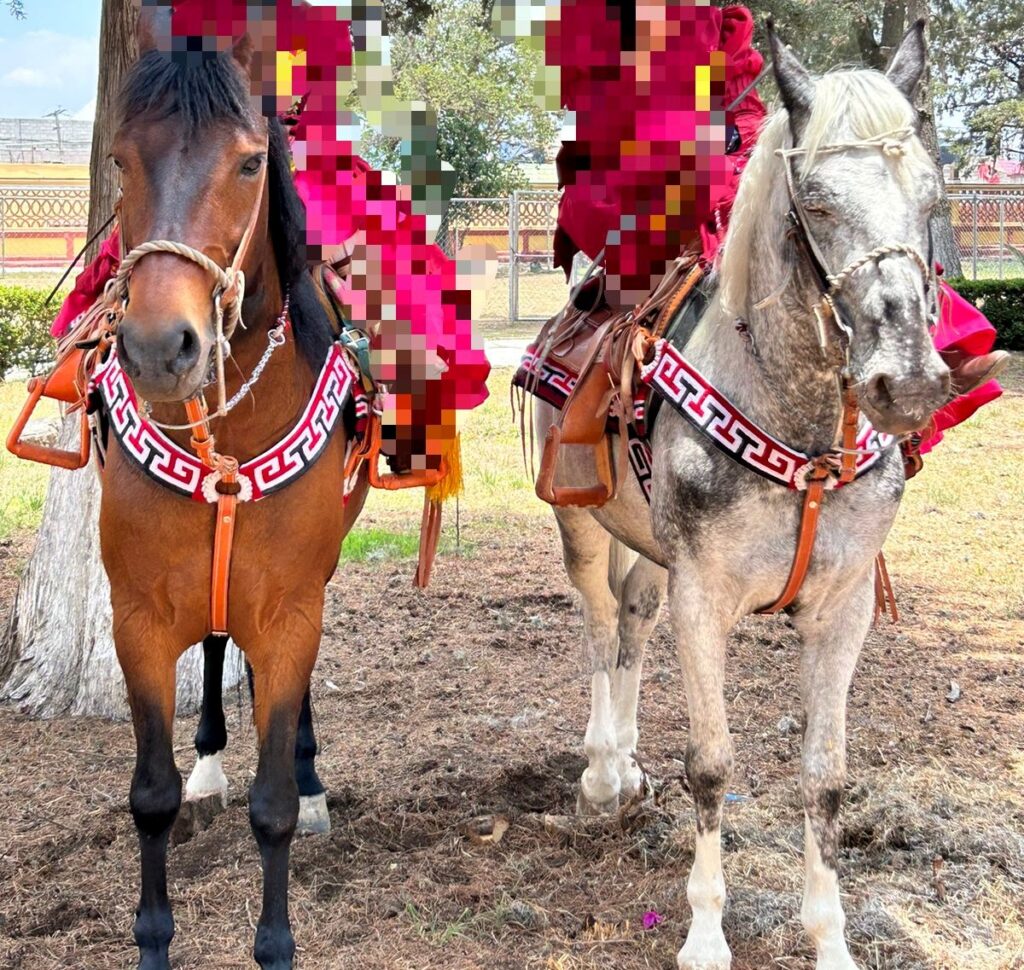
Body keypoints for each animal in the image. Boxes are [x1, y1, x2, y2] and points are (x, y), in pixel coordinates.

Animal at [101, 22, 369, 970]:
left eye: (251, 164)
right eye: (119, 160)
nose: (159, 346)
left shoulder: (291, 609)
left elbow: (274, 805)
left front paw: (276, 943)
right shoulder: (138, 618)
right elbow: (149, 795)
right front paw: (152, 943)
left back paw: (311, 773)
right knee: (218, 648)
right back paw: (213, 758)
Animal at [535, 23, 949, 970]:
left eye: (931, 193)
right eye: (817, 202)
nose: (906, 381)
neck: (797, 427)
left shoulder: (839, 610)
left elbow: (826, 778)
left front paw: (830, 939)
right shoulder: (707, 600)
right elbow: (713, 766)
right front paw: (705, 936)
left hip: (652, 551)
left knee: (632, 626)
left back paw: (627, 760)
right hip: (580, 523)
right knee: (600, 628)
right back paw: (603, 770)